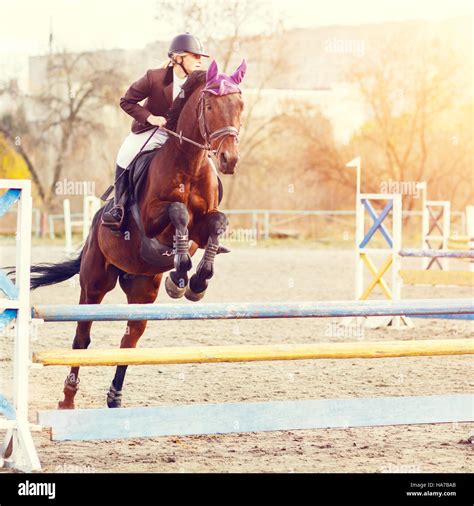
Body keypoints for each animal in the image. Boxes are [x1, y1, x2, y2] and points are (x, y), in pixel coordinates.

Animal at [29, 58, 246, 408]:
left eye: (240, 105)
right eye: (210, 105)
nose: (229, 159)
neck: (190, 162)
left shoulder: (203, 228)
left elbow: (216, 225)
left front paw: (196, 282)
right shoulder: (151, 221)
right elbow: (178, 212)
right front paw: (181, 274)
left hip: (142, 288)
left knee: (129, 338)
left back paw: (115, 397)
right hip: (94, 283)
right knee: (82, 338)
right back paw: (68, 399)